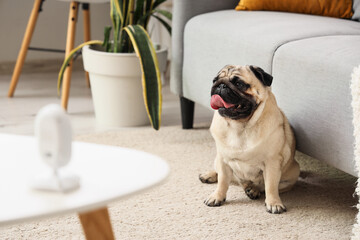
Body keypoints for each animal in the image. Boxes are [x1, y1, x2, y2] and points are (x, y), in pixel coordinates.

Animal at [200, 64, 300, 214]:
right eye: (214, 80)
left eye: (239, 84)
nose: (221, 85)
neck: (239, 126)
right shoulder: (223, 160)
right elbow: (222, 181)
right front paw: (217, 197)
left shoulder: (272, 163)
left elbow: (270, 186)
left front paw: (274, 203)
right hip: (217, 160)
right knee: (228, 177)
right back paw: (209, 176)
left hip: (292, 175)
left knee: (260, 186)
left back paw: (252, 189)